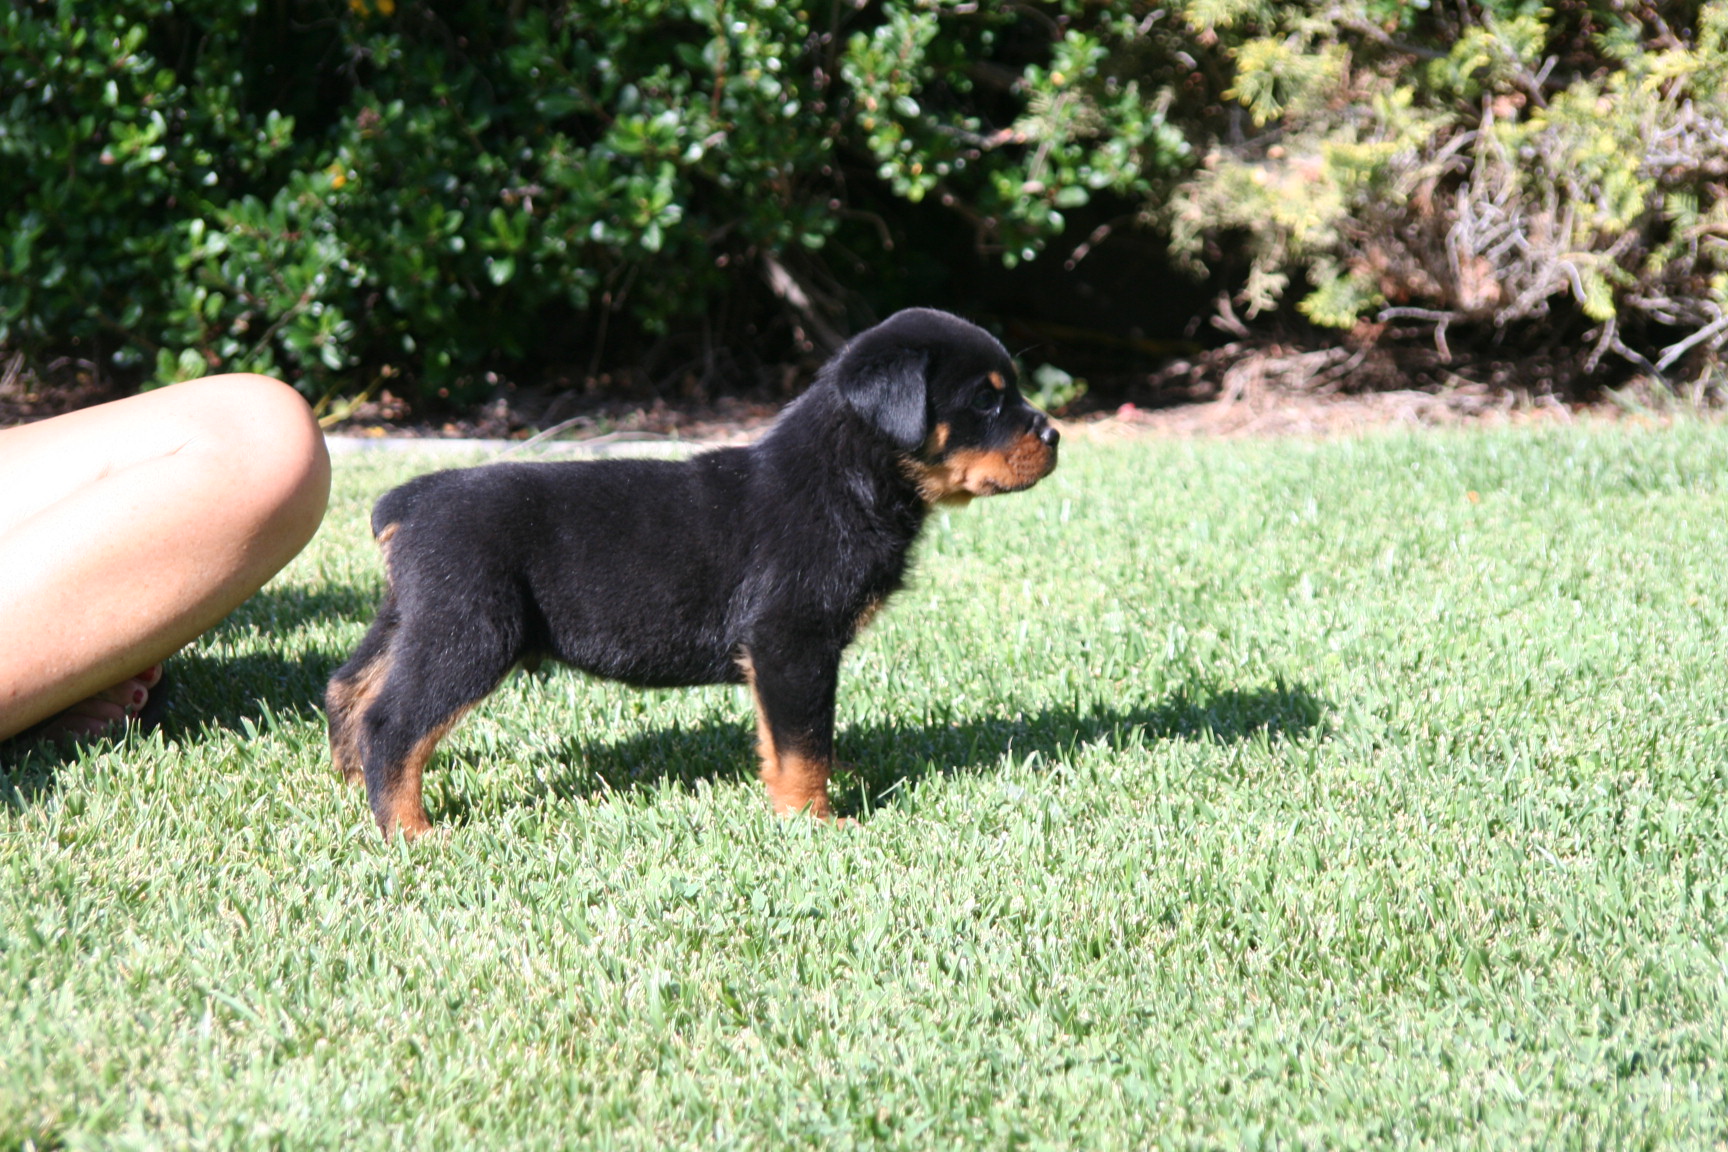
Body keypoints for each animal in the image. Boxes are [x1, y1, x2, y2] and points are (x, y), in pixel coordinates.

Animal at [323, 310, 1050, 842]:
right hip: (471, 631)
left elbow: (791, 734)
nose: (1054, 435)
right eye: (986, 402)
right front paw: (814, 818)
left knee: (350, 687)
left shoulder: (783, 656)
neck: (849, 477)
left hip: (413, 615)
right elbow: (803, 741)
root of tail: (407, 502)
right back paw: (410, 830)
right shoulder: (792, 639)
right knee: (395, 722)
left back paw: (350, 785)